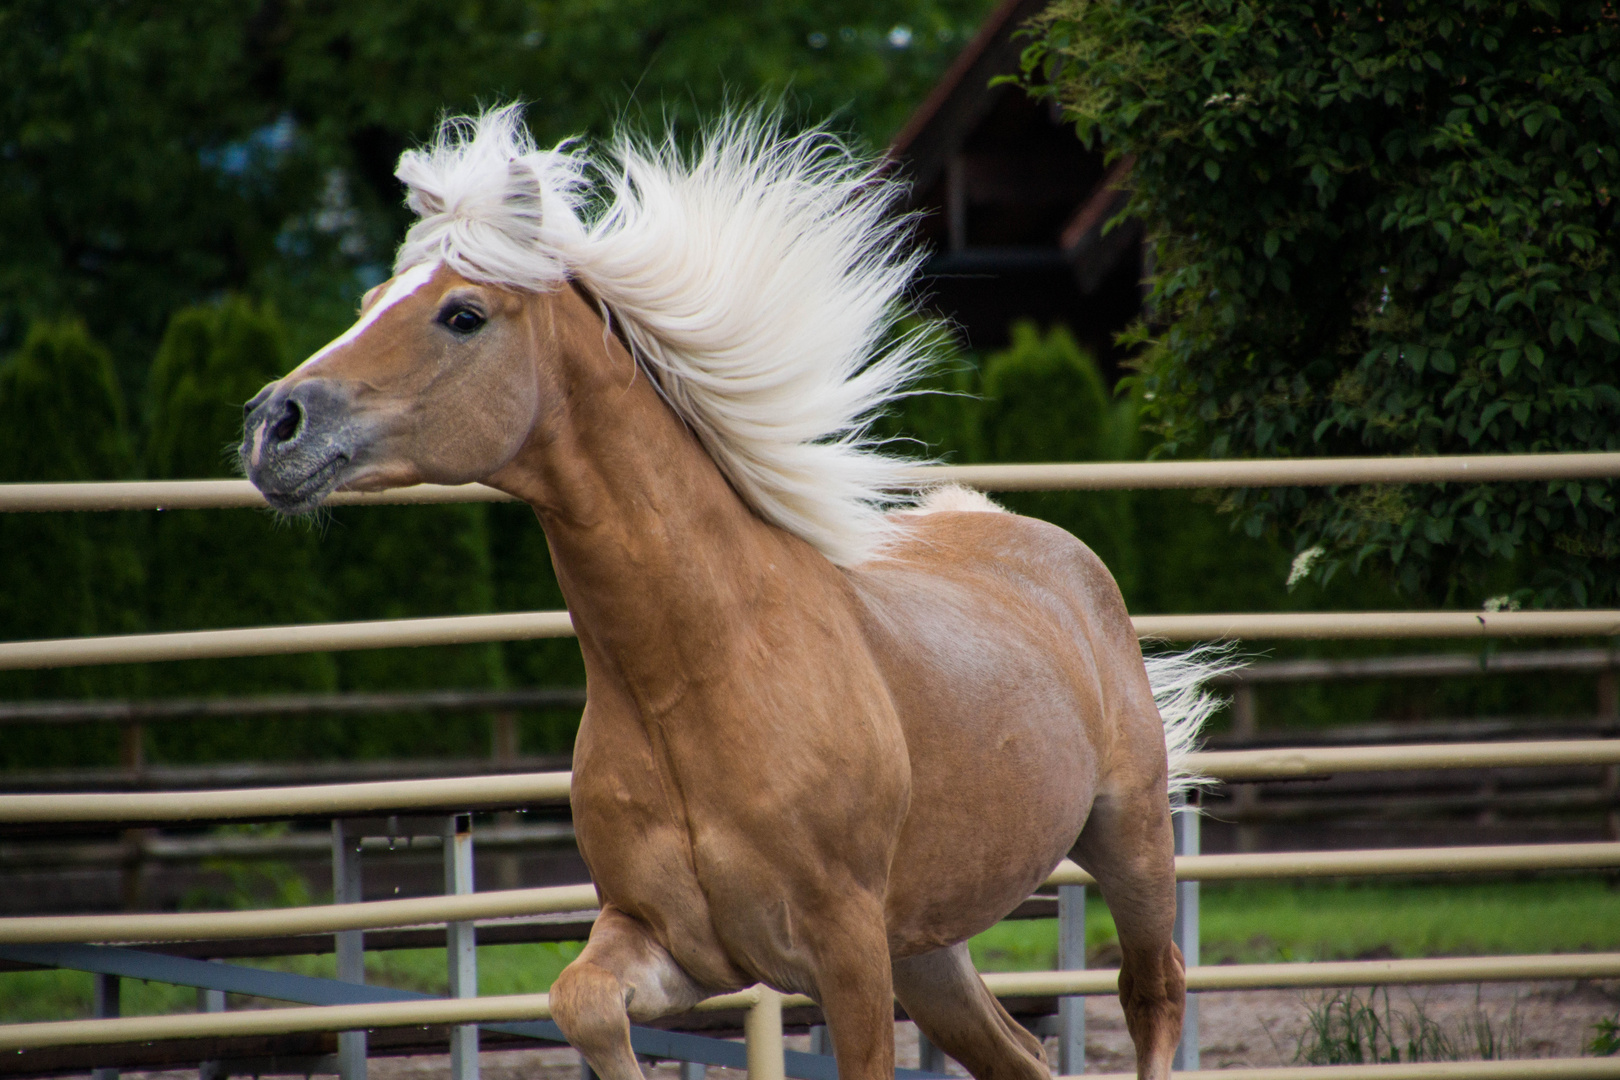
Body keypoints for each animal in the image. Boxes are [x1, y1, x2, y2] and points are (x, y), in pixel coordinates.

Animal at [239, 107, 1218, 1080]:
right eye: (371, 302)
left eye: (463, 313)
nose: (272, 424)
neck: (696, 680)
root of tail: (1042, 545)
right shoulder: (671, 939)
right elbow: (582, 1004)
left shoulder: (847, 953)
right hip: (929, 946)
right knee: (1021, 1053)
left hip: (1127, 840)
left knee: (1154, 992)